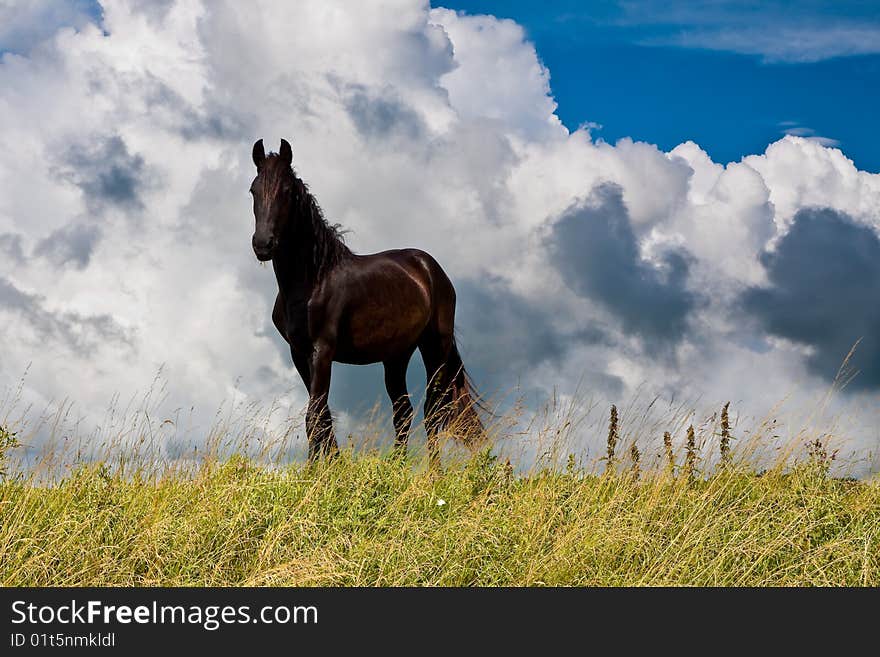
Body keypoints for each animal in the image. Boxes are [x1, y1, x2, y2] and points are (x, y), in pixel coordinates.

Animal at [249, 138, 482, 464]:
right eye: (253, 190)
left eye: (286, 191)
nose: (263, 245)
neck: (312, 281)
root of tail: (430, 269)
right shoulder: (299, 353)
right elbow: (322, 416)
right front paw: (331, 465)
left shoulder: (322, 350)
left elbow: (314, 415)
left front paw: (315, 470)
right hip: (396, 355)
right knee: (403, 411)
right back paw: (396, 466)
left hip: (434, 346)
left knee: (433, 412)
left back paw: (433, 470)